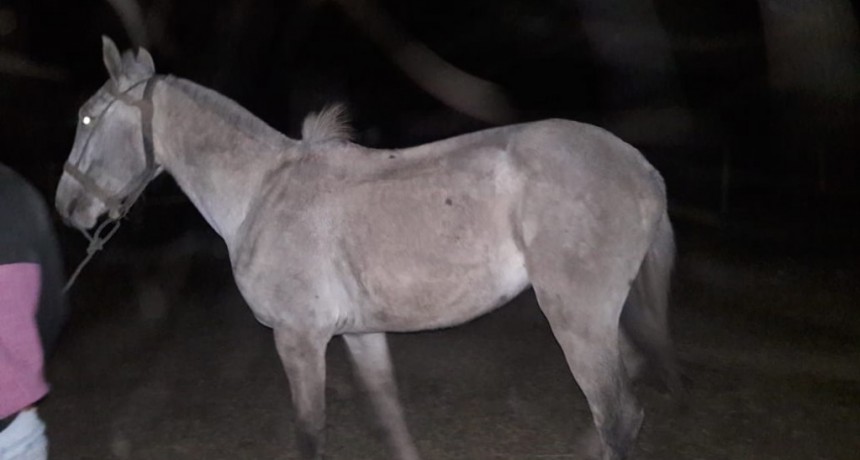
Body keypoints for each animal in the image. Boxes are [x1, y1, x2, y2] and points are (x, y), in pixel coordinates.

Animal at [55, 37, 681, 460]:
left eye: (86, 117)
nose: (66, 206)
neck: (262, 192)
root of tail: (641, 167)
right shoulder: (361, 334)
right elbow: (389, 418)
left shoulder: (300, 339)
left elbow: (310, 434)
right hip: (597, 316)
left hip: (577, 316)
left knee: (618, 416)